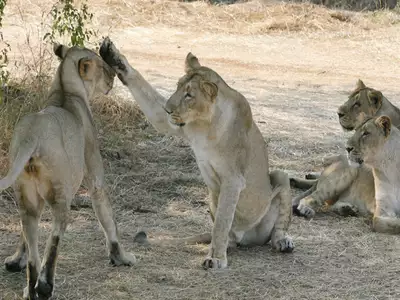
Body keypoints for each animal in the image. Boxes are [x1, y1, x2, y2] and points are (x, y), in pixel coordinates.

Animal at [0, 43, 136, 298]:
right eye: (103, 67)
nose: (113, 77)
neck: (66, 90)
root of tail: (31, 135)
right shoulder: (95, 173)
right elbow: (108, 217)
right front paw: (121, 257)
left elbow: (24, 240)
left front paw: (14, 261)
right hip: (61, 195)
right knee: (54, 237)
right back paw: (44, 287)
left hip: (26, 198)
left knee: (33, 248)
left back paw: (31, 290)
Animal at [100, 37, 294, 270]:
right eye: (177, 87)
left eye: (189, 95)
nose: (168, 108)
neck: (205, 125)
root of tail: (245, 237)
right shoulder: (172, 124)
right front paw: (113, 56)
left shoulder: (233, 179)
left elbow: (222, 222)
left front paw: (216, 258)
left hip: (280, 177)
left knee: (277, 226)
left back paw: (282, 242)